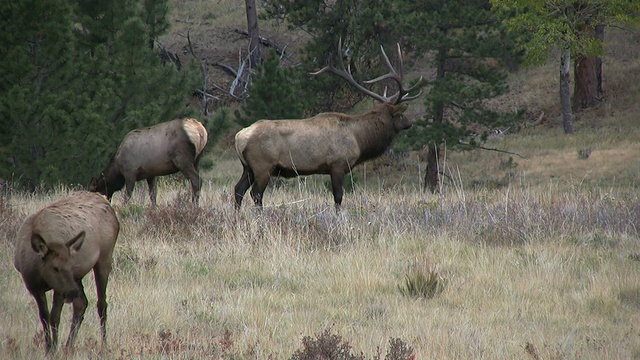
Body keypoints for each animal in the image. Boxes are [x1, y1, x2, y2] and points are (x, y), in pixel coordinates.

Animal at [12, 191, 120, 354]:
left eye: (71, 265)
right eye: (55, 267)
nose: (72, 292)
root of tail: (105, 200)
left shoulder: (60, 288)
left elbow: (54, 317)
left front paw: (54, 349)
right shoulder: (35, 288)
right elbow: (44, 317)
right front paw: (49, 348)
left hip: (104, 258)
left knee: (101, 303)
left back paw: (103, 344)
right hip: (78, 278)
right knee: (81, 304)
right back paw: (69, 345)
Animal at [232, 43, 422, 210]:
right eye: (400, 115)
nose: (410, 122)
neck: (359, 139)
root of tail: (239, 137)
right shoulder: (338, 165)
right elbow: (338, 197)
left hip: (248, 167)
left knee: (238, 190)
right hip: (263, 165)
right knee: (256, 194)